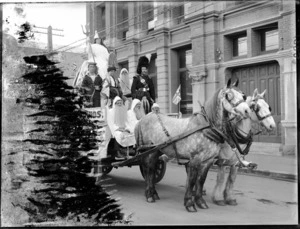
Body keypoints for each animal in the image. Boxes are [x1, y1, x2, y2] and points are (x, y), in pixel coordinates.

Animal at [134, 78, 251, 211]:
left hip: (156, 151)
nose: (247, 111)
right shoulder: (194, 160)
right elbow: (192, 181)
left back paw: (153, 193)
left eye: (243, 95)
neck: (206, 128)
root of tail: (143, 118)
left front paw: (200, 202)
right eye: (228, 95)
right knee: (148, 170)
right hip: (148, 150)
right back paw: (149, 195)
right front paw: (189, 203)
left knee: (152, 169)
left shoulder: (208, 161)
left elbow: (201, 181)